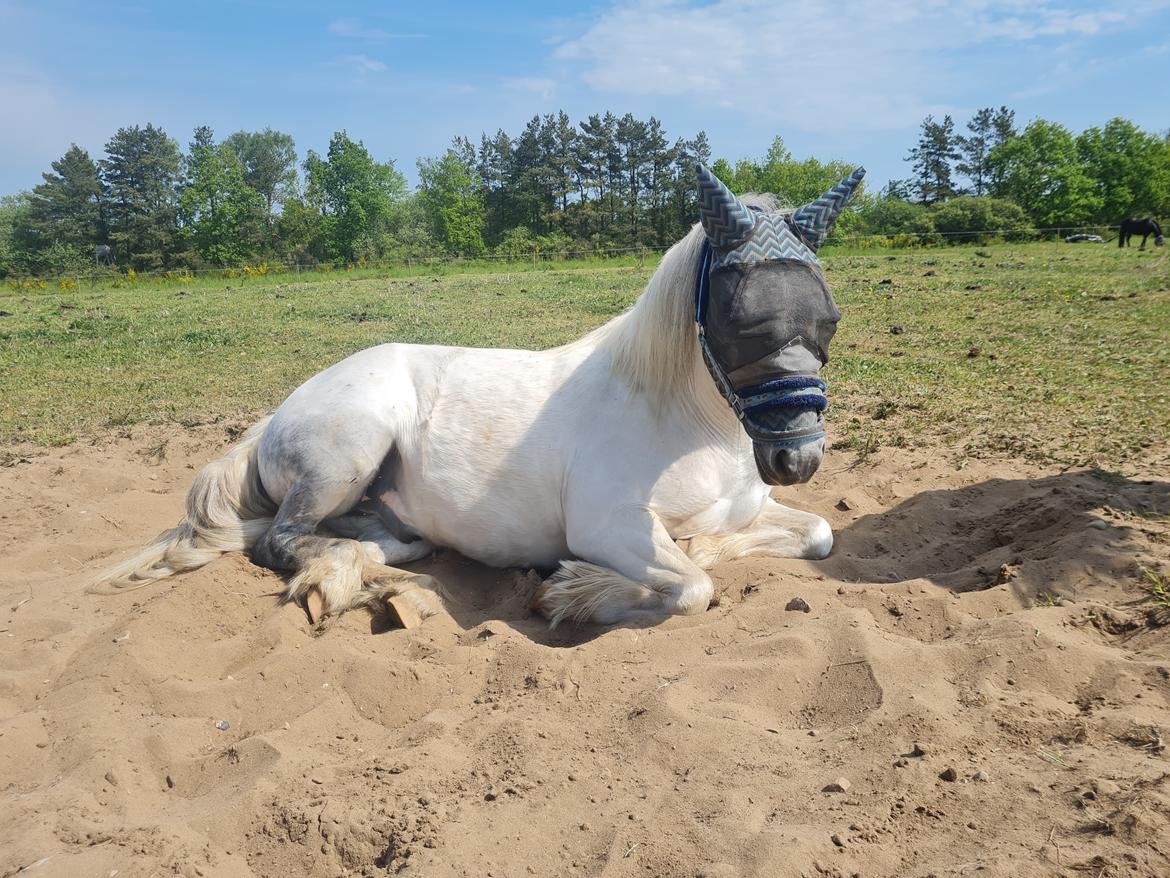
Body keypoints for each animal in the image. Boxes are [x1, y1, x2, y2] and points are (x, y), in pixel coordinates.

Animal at [95, 165, 865, 627]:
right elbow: (693, 590)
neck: (685, 421)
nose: (797, 459)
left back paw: (382, 550)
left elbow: (814, 537)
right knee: (281, 539)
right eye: (745, 322)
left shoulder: (749, 512)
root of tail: (280, 413)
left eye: (829, 319)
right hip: (351, 450)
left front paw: (702, 545)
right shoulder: (607, 526)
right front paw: (574, 591)